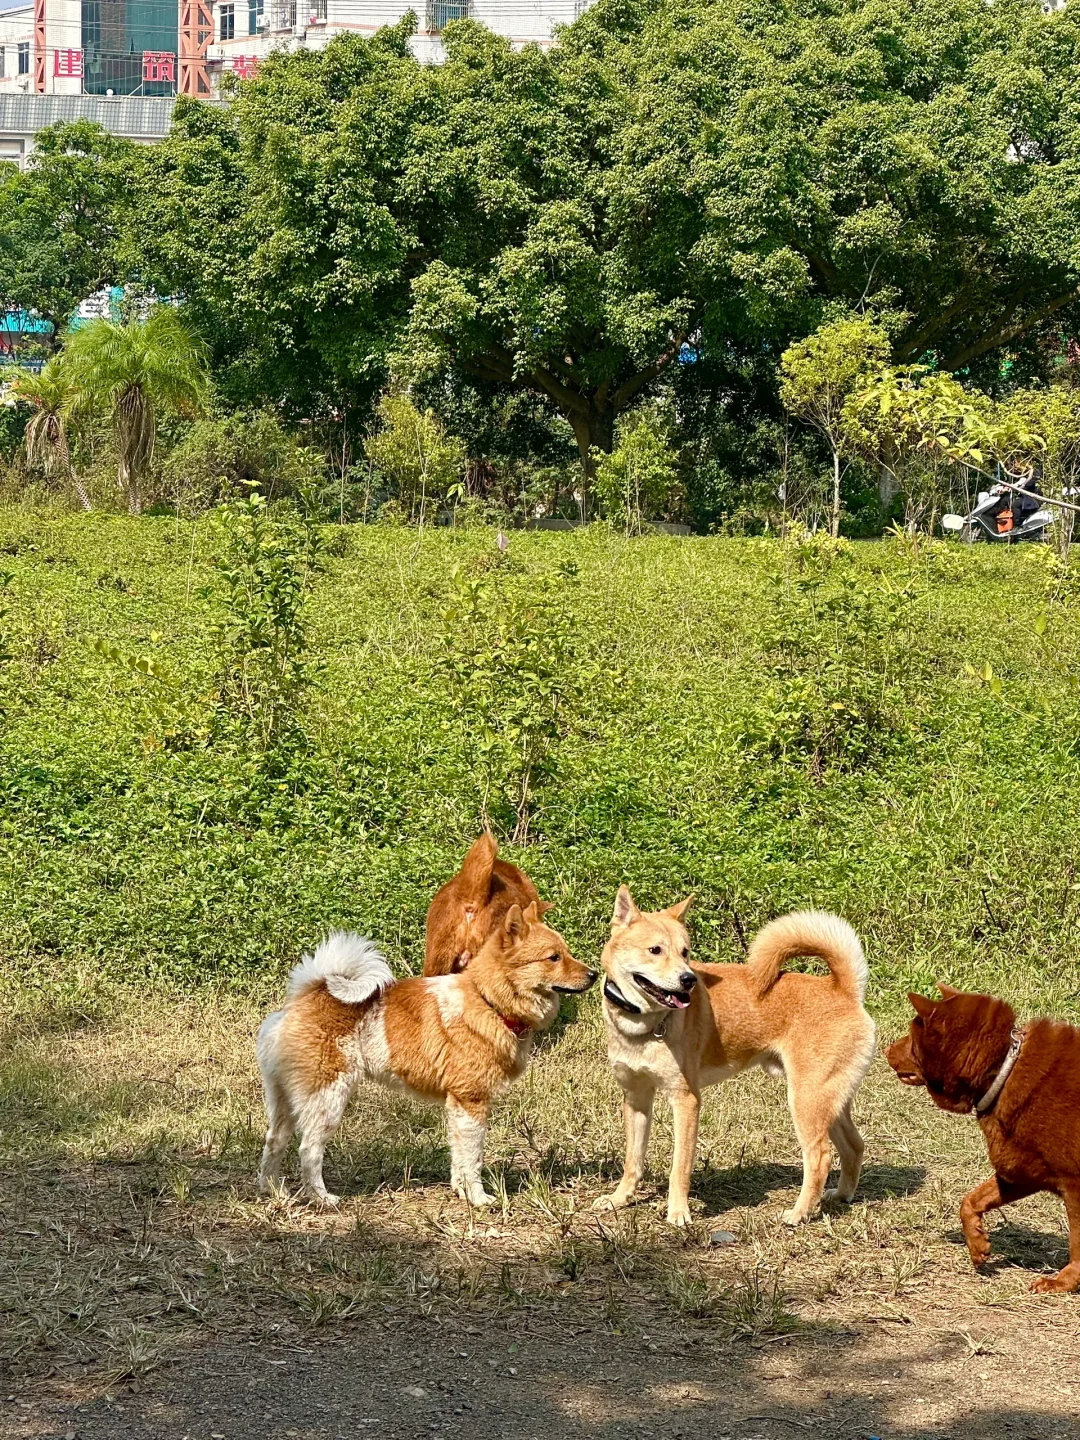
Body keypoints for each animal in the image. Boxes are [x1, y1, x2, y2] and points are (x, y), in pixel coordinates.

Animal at [260, 904, 601, 1209]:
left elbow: (459, 1157)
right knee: (309, 1150)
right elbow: (473, 1159)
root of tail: (307, 995)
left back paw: (276, 1194)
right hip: (328, 1098)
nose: (595, 974)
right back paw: (321, 1198)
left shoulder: (458, 1107)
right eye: (554, 957)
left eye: (566, 952)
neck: (487, 1001)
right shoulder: (471, 1102)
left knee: (274, 1143)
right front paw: (479, 1199)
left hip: (285, 1101)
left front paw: (462, 1193)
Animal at [887, 990, 1080, 1296]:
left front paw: (1063, 1281)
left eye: (911, 1035)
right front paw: (978, 1245)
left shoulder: (1074, 1185)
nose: (886, 1049)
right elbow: (971, 1200)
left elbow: (1077, 1242)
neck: (1003, 1069)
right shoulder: (1021, 1172)